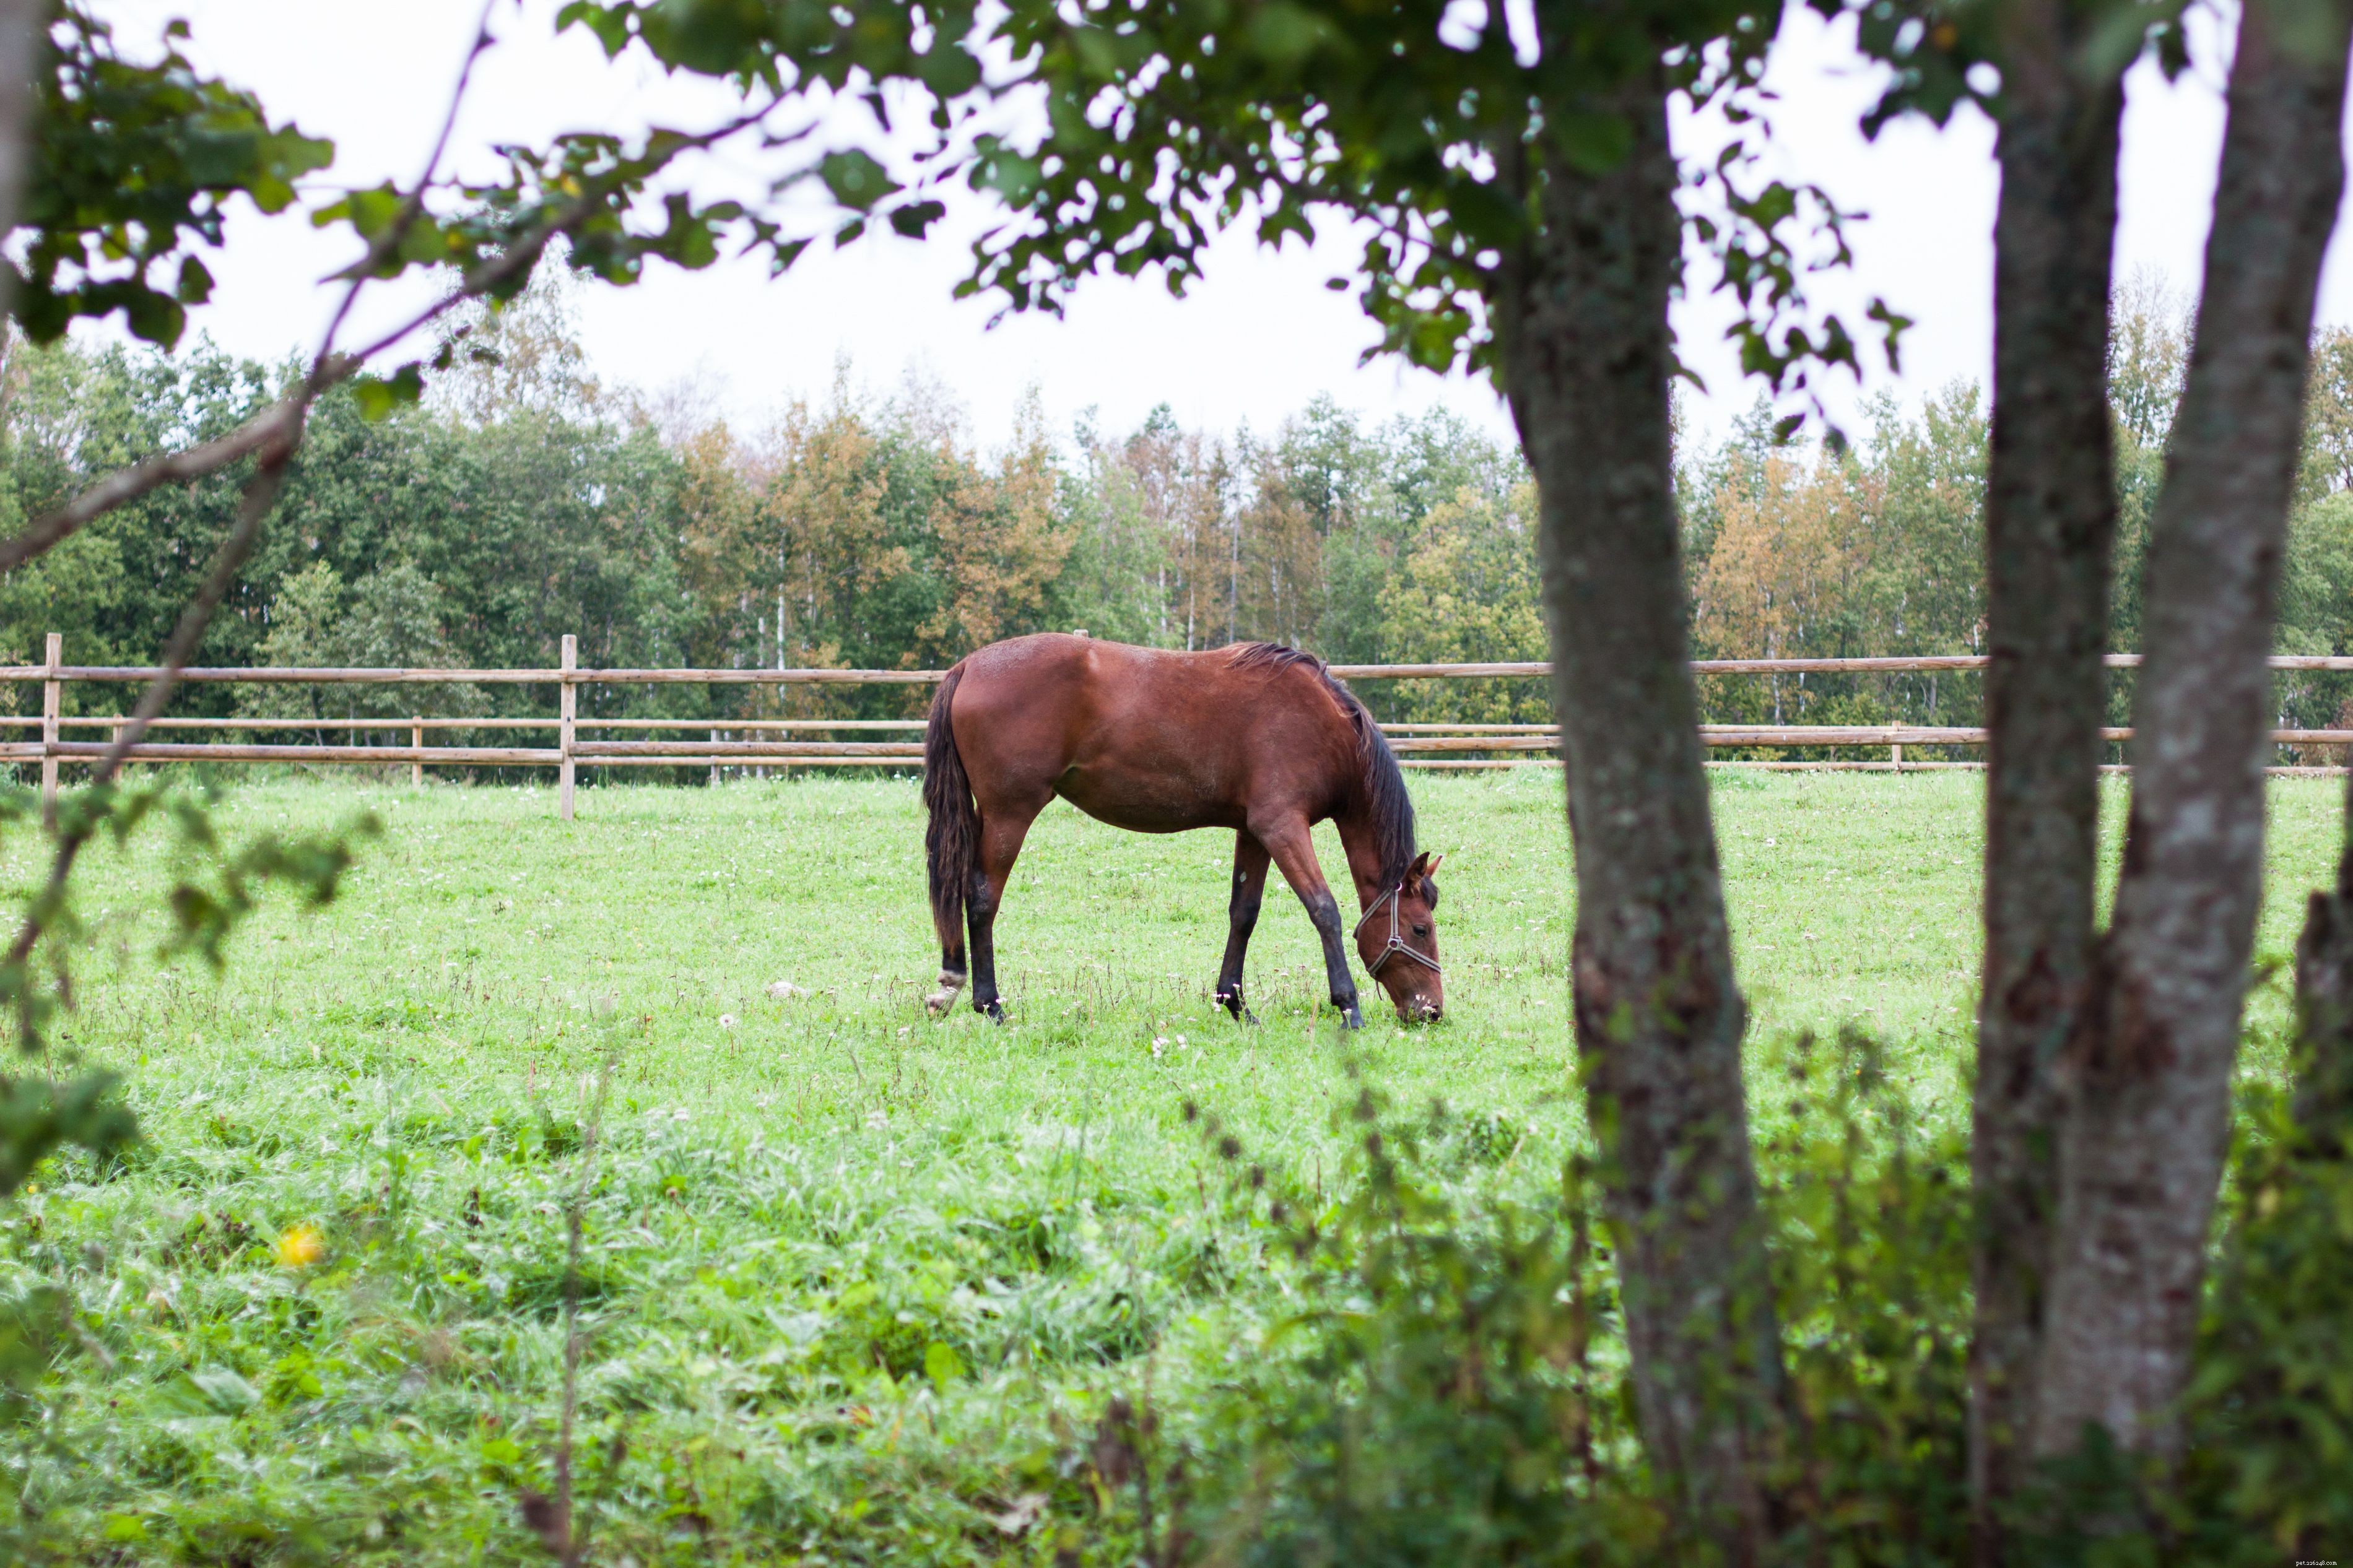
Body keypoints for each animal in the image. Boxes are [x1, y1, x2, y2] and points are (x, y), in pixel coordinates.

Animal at [920, 634, 1444, 1028]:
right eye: (1420, 928)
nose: (1433, 1010)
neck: (1321, 724)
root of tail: (969, 665)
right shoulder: (1283, 827)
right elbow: (1324, 910)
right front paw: (1349, 1008)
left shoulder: (1255, 832)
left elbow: (1244, 914)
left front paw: (1236, 1005)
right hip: (1009, 814)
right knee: (982, 898)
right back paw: (990, 1004)